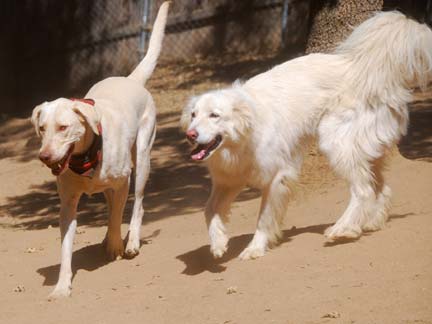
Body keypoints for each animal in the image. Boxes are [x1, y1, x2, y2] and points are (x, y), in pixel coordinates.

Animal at [30, 2, 169, 298]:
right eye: (42, 128)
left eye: (63, 127)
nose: (44, 157)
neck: (85, 157)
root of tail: (131, 79)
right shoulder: (68, 203)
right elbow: (66, 248)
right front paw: (62, 286)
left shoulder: (123, 182)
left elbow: (119, 215)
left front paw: (117, 245)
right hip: (111, 185)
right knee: (112, 205)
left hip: (142, 160)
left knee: (137, 205)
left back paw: (131, 241)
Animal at [181, 12, 432, 260]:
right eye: (193, 115)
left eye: (214, 115)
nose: (190, 134)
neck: (242, 140)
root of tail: (364, 68)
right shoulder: (228, 181)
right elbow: (209, 210)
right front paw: (218, 243)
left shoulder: (277, 177)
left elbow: (263, 219)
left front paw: (254, 248)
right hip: (363, 152)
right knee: (380, 188)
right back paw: (367, 223)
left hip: (335, 143)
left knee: (363, 191)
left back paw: (342, 228)